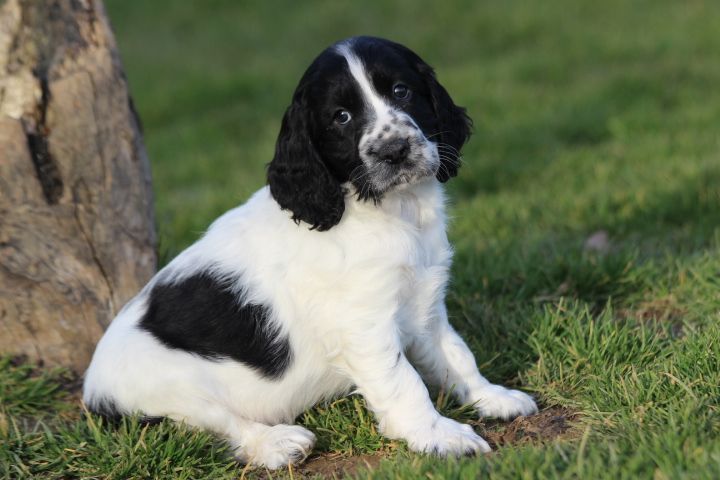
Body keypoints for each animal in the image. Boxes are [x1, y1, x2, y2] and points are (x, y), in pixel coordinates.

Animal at [83, 34, 536, 468]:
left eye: (402, 91)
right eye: (342, 117)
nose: (395, 151)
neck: (390, 211)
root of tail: (91, 391)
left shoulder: (425, 302)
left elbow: (456, 353)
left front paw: (492, 397)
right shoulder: (364, 325)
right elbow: (404, 381)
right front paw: (440, 436)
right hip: (173, 388)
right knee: (219, 424)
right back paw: (277, 444)